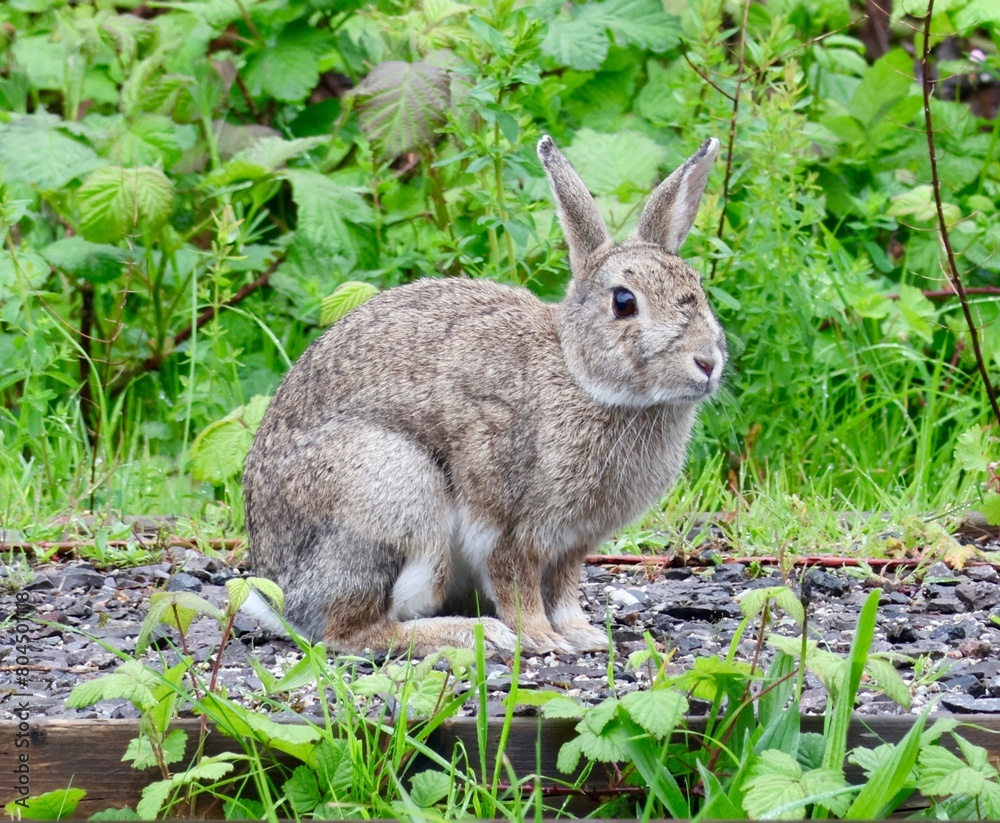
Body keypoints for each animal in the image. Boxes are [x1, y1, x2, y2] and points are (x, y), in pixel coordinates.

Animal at [243, 134, 726, 657]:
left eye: (698, 288)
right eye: (623, 302)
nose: (707, 362)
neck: (579, 375)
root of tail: (279, 595)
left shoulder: (572, 545)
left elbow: (563, 589)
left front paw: (583, 635)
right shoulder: (510, 524)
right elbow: (517, 584)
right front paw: (541, 639)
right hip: (389, 488)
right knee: (350, 632)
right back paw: (471, 632)